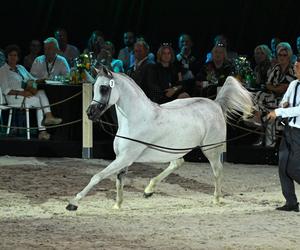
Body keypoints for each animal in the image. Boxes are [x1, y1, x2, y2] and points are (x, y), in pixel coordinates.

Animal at [66, 68, 253, 211]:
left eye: (104, 88)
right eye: (95, 87)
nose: (90, 113)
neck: (135, 119)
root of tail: (215, 104)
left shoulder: (125, 158)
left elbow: (97, 176)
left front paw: (73, 203)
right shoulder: (123, 159)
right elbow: (119, 180)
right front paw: (117, 205)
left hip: (211, 150)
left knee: (217, 170)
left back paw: (216, 199)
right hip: (175, 150)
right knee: (177, 163)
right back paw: (148, 190)